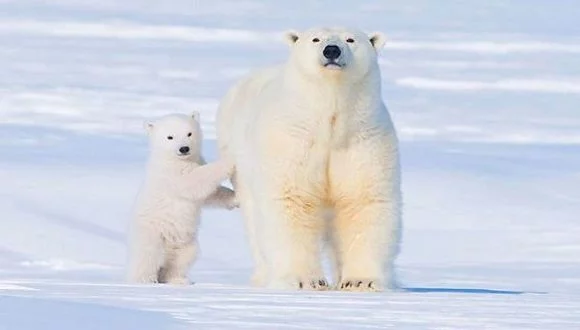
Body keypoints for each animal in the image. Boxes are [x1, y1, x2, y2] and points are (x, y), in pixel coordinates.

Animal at [215, 27, 402, 292]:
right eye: (316, 39)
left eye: (350, 39)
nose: (331, 50)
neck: (329, 125)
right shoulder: (291, 140)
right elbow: (291, 200)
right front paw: (305, 280)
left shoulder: (363, 141)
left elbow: (363, 202)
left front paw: (360, 281)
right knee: (253, 219)